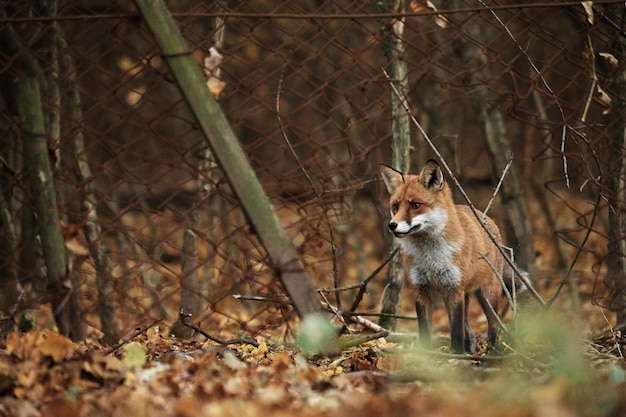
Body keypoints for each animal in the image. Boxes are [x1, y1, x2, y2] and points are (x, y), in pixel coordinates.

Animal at [378, 158, 504, 352]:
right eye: (395, 206)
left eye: (415, 205)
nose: (392, 225)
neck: (430, 257)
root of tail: (488, 218)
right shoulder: (420, 289)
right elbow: (425, 330)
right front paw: (426, 354)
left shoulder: (454, 288)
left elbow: (456, 331)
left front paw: (457, 355)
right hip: (464, 295)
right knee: (470, 331)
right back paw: (472, 351)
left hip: (488, 294)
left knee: (494, 326)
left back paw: (491, 351)